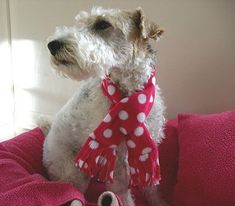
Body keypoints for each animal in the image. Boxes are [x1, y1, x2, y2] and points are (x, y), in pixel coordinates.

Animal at [43, 6, 166, 206]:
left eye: (102, 24)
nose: (52, 45)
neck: (128, 94)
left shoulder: (150, 145)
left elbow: (152, 187)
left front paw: (160, 201)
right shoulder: (118, 161)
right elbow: (123, 192)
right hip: (73, 172)